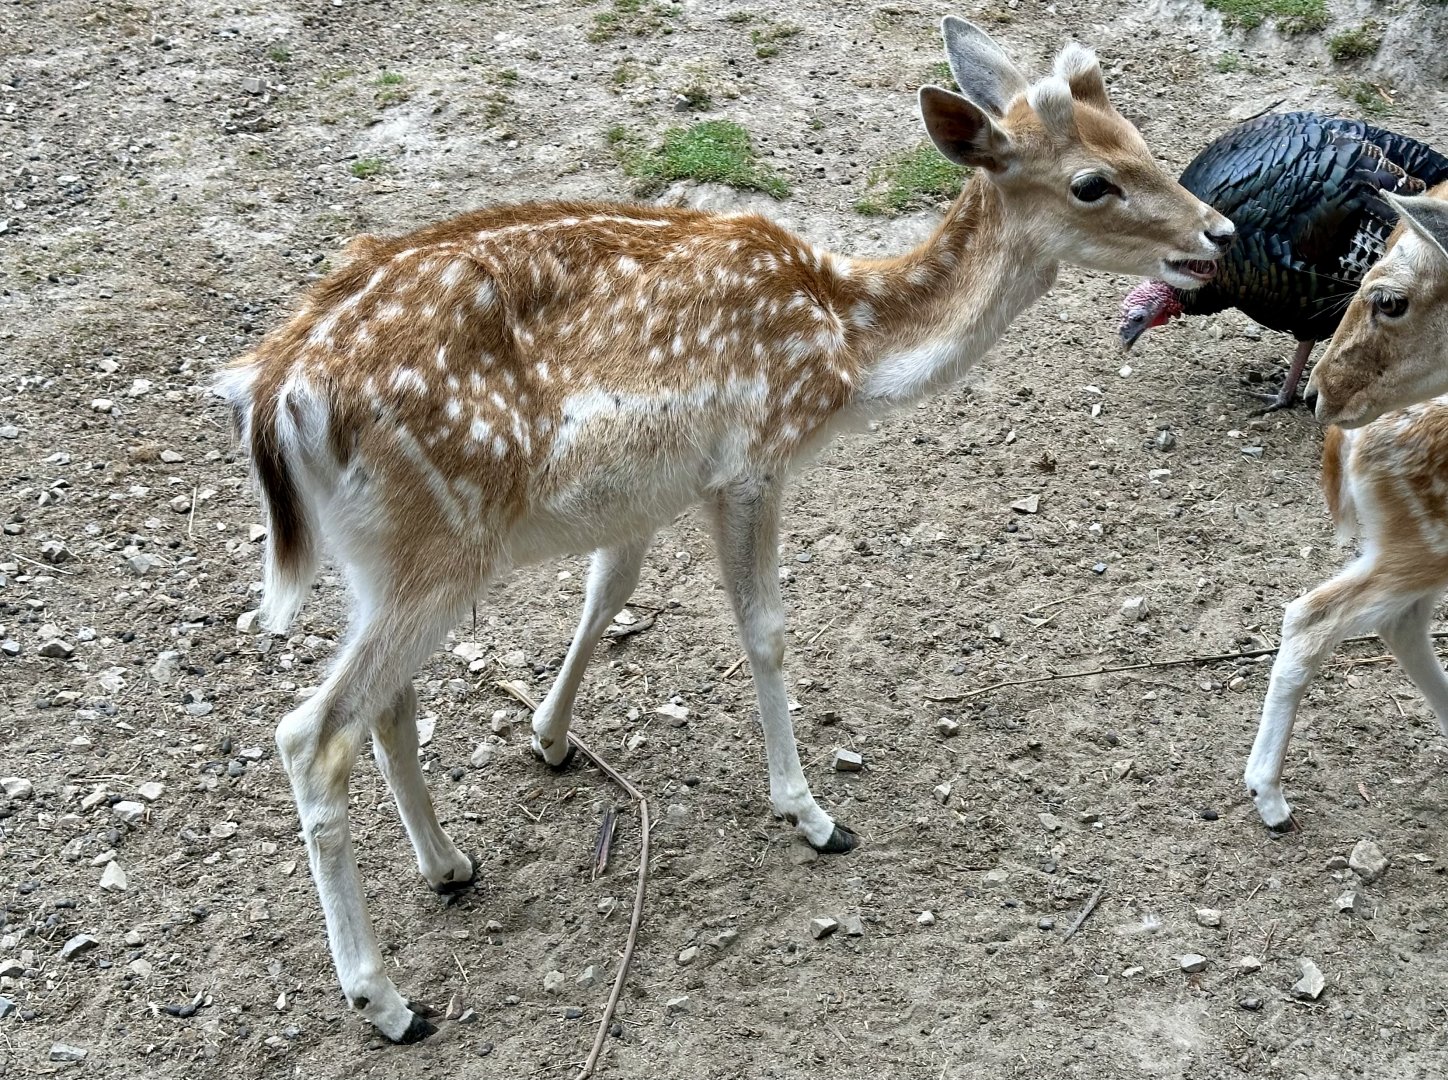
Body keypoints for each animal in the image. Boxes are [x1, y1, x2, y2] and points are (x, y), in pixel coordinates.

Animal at [218, 16, 1233, 1042]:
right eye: (1092, 182)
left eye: (1138, 136)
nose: (1218, 233)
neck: (847, 348)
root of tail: (274, 396)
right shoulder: (753, 458)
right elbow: (765, 631)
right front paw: (810, 812)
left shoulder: (644, 493)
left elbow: (609, 591)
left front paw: (550, 737)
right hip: (440, 541)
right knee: (312, 733)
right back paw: (387, 999)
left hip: (380, 556)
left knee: (385, 703)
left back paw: (449, 865)